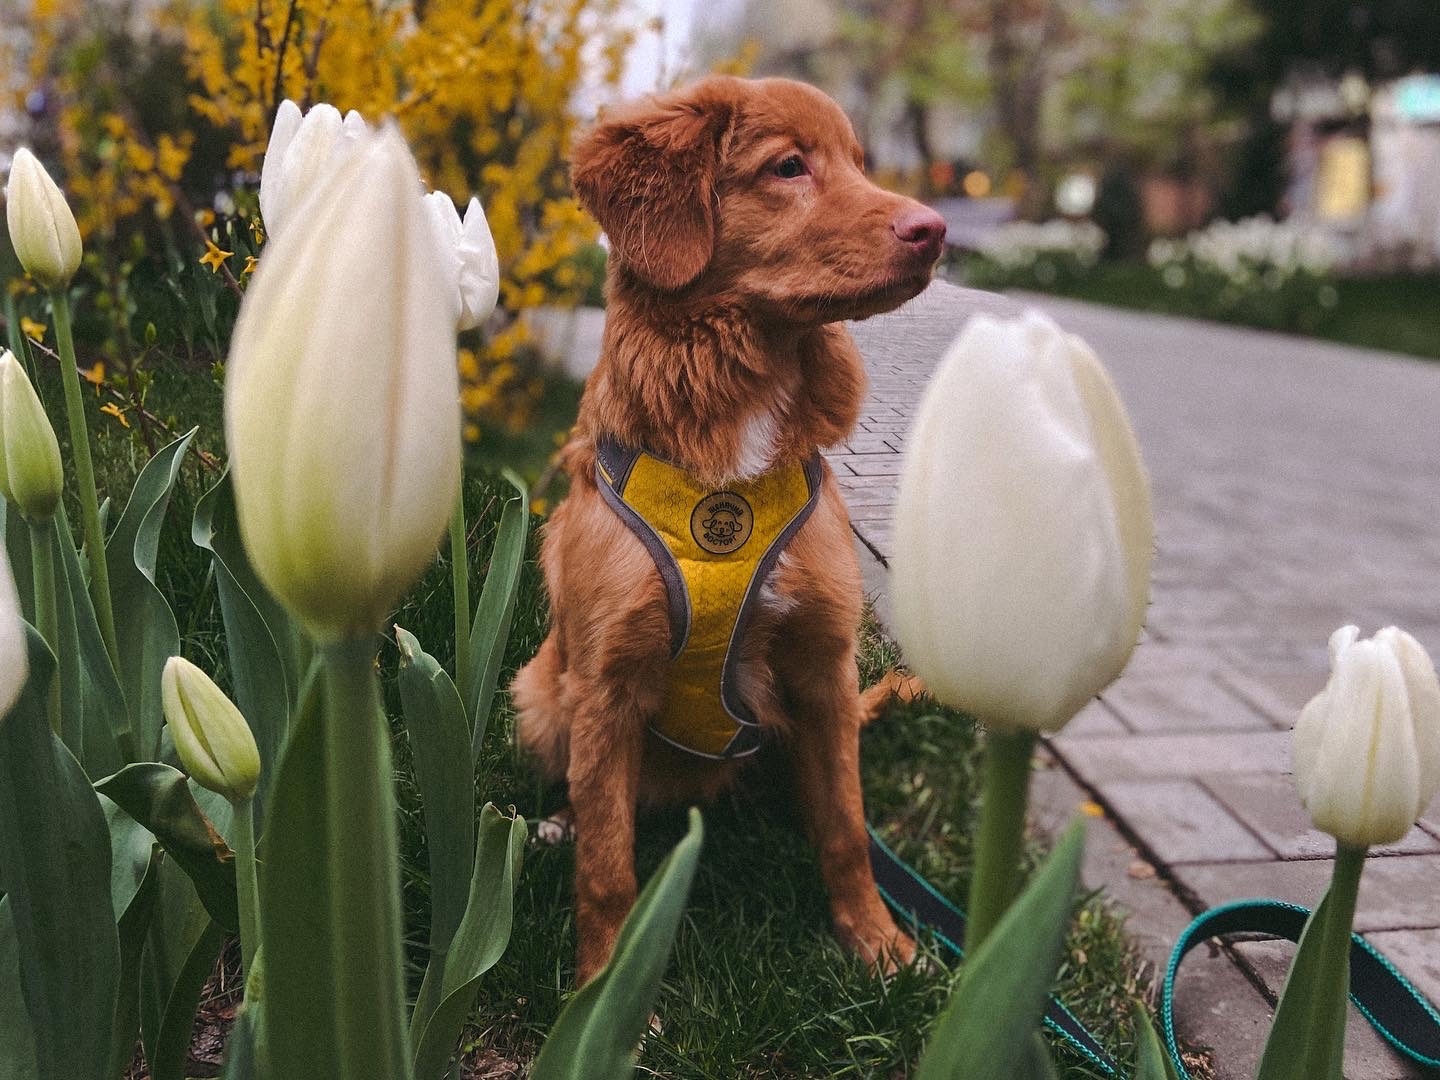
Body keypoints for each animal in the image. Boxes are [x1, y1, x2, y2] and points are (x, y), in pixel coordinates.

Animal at [515, 76, 944, 990]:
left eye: (861, 163)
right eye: (788, 166)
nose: (934, 230)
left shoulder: (825, 669)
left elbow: (846, 828)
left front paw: (876, 941)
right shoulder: (605, 684)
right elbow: (607, 868)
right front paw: (602, 994)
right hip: (541, 691)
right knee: (591, 797)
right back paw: (561, 820)